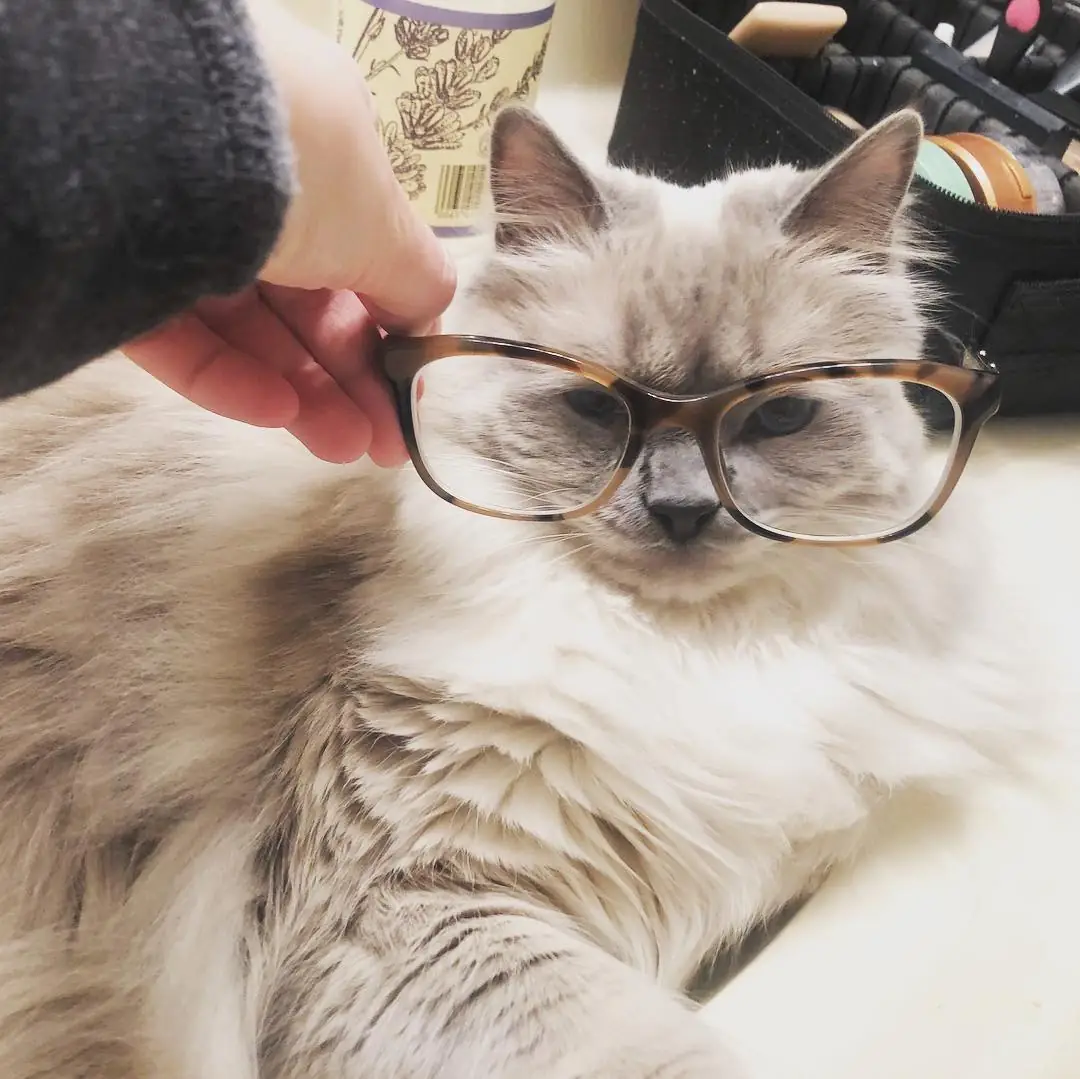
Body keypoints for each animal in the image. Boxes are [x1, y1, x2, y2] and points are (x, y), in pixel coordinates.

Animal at [0, 105, 1043, 1079]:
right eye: (595, 408)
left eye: (779, 417)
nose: (683, 511)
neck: (678, 650)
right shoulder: (412, 906)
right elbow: (656, 1054)